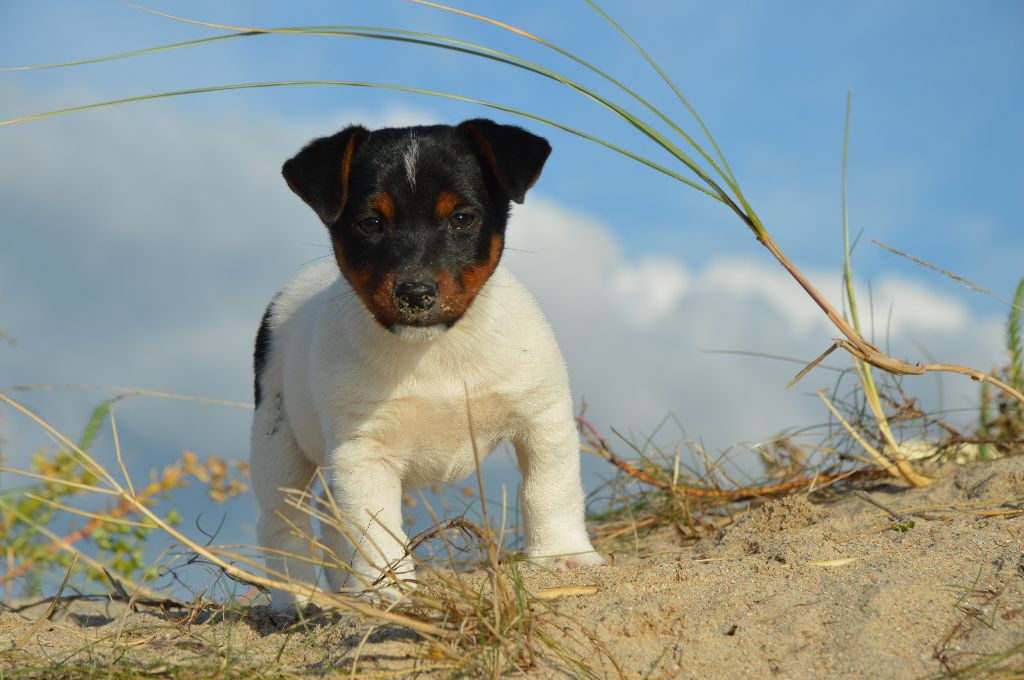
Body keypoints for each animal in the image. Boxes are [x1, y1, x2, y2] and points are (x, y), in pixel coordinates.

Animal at [251, 118, 602, 610]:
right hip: (276, 440)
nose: (415, 294)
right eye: (370, 222)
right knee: (284, 523)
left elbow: (549, 490)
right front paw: (390, 589)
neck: (436, 349)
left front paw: (562, 556)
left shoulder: (542, 418)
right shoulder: (364, 453)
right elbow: (376, 531)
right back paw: (299, 598)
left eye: (462, 219)